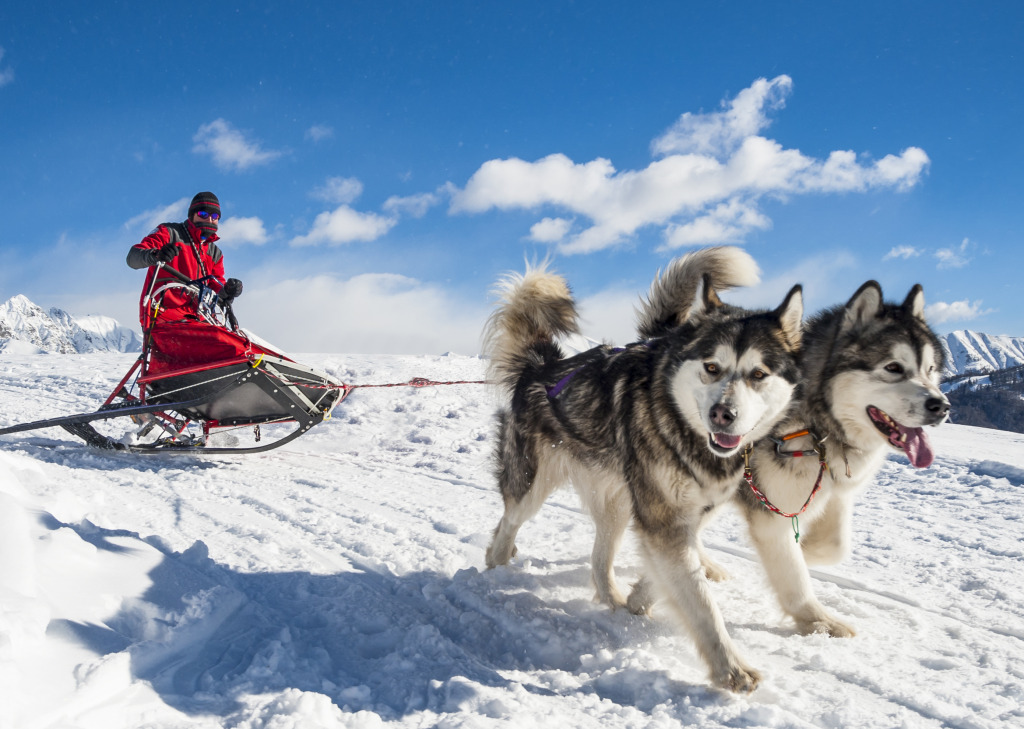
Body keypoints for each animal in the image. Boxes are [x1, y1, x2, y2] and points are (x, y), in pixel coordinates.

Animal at [483, 247, 802, 692]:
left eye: (758, 374)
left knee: (599, 558)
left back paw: (613, 598)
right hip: (533, 484)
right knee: (508, 522)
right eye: (712, 367)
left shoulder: (685, 515)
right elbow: (702, 604)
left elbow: (676, 575)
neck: (683, 428)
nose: (724, 414)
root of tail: (541, 367)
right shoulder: (665, 519)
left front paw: (638, 600)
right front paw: (731, 668)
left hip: (617, 502)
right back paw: (496, 568)